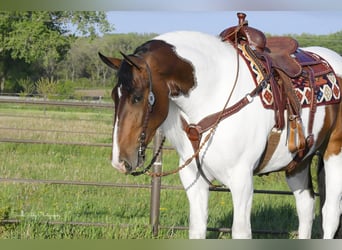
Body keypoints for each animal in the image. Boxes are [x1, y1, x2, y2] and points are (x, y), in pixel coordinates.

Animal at [97, 31, 340, 238]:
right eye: (114, 96)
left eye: (137, 97)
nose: (120, 161)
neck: (214, 94)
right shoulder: (193, 180)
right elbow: (197, 229)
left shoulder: (242, 180)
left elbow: (241, 232)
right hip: (299, 162)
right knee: (306, 207)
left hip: (334, 152)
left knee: (330, 213)